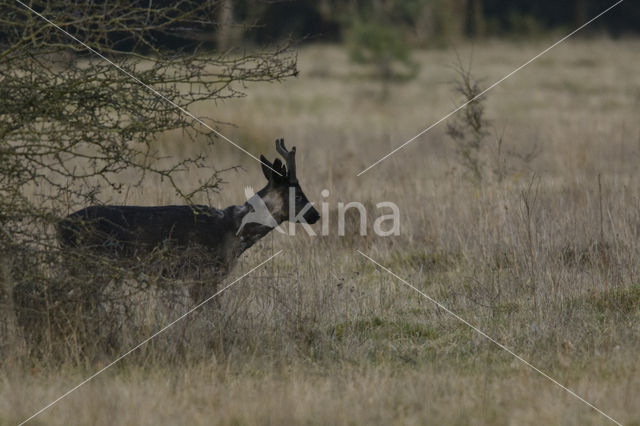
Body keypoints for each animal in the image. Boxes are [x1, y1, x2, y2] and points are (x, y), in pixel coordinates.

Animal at [58, 140, 320, 302]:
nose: (316, 215)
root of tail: (60, 226)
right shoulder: (202, 273)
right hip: (87, 265)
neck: (233, 230)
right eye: (298, 194)